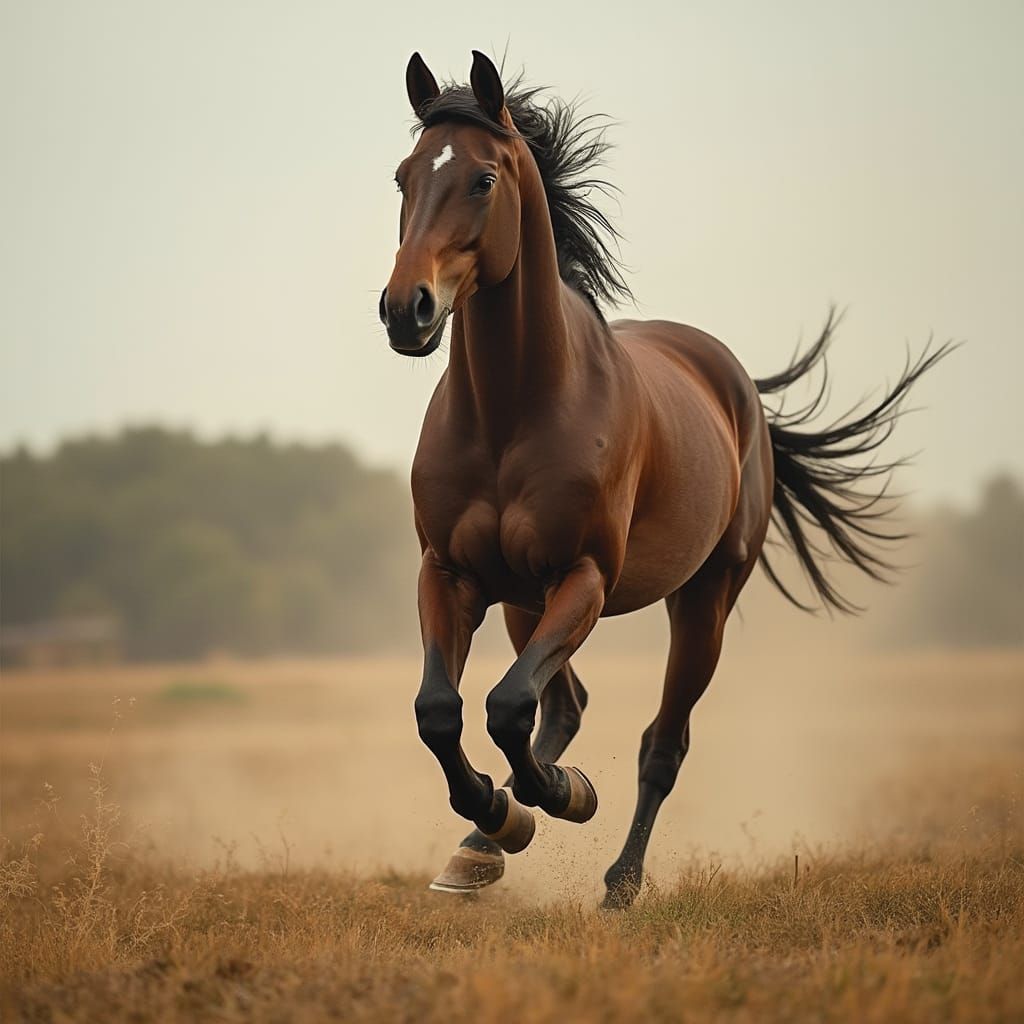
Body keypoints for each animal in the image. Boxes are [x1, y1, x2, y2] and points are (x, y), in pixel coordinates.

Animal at [378, 50, 951, 908]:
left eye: (481, 179)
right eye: (403, 178)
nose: (405, 310)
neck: (514, 413)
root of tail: (735, 383)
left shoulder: (584, 577)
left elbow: (507, 708)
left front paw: (563, 797)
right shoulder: (450, 575)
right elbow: (441, 711)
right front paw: (495, 823)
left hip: (702, 599)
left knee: (660, 741)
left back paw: (618, 879)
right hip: (522, 600)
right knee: (563, 705)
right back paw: (482, 844)